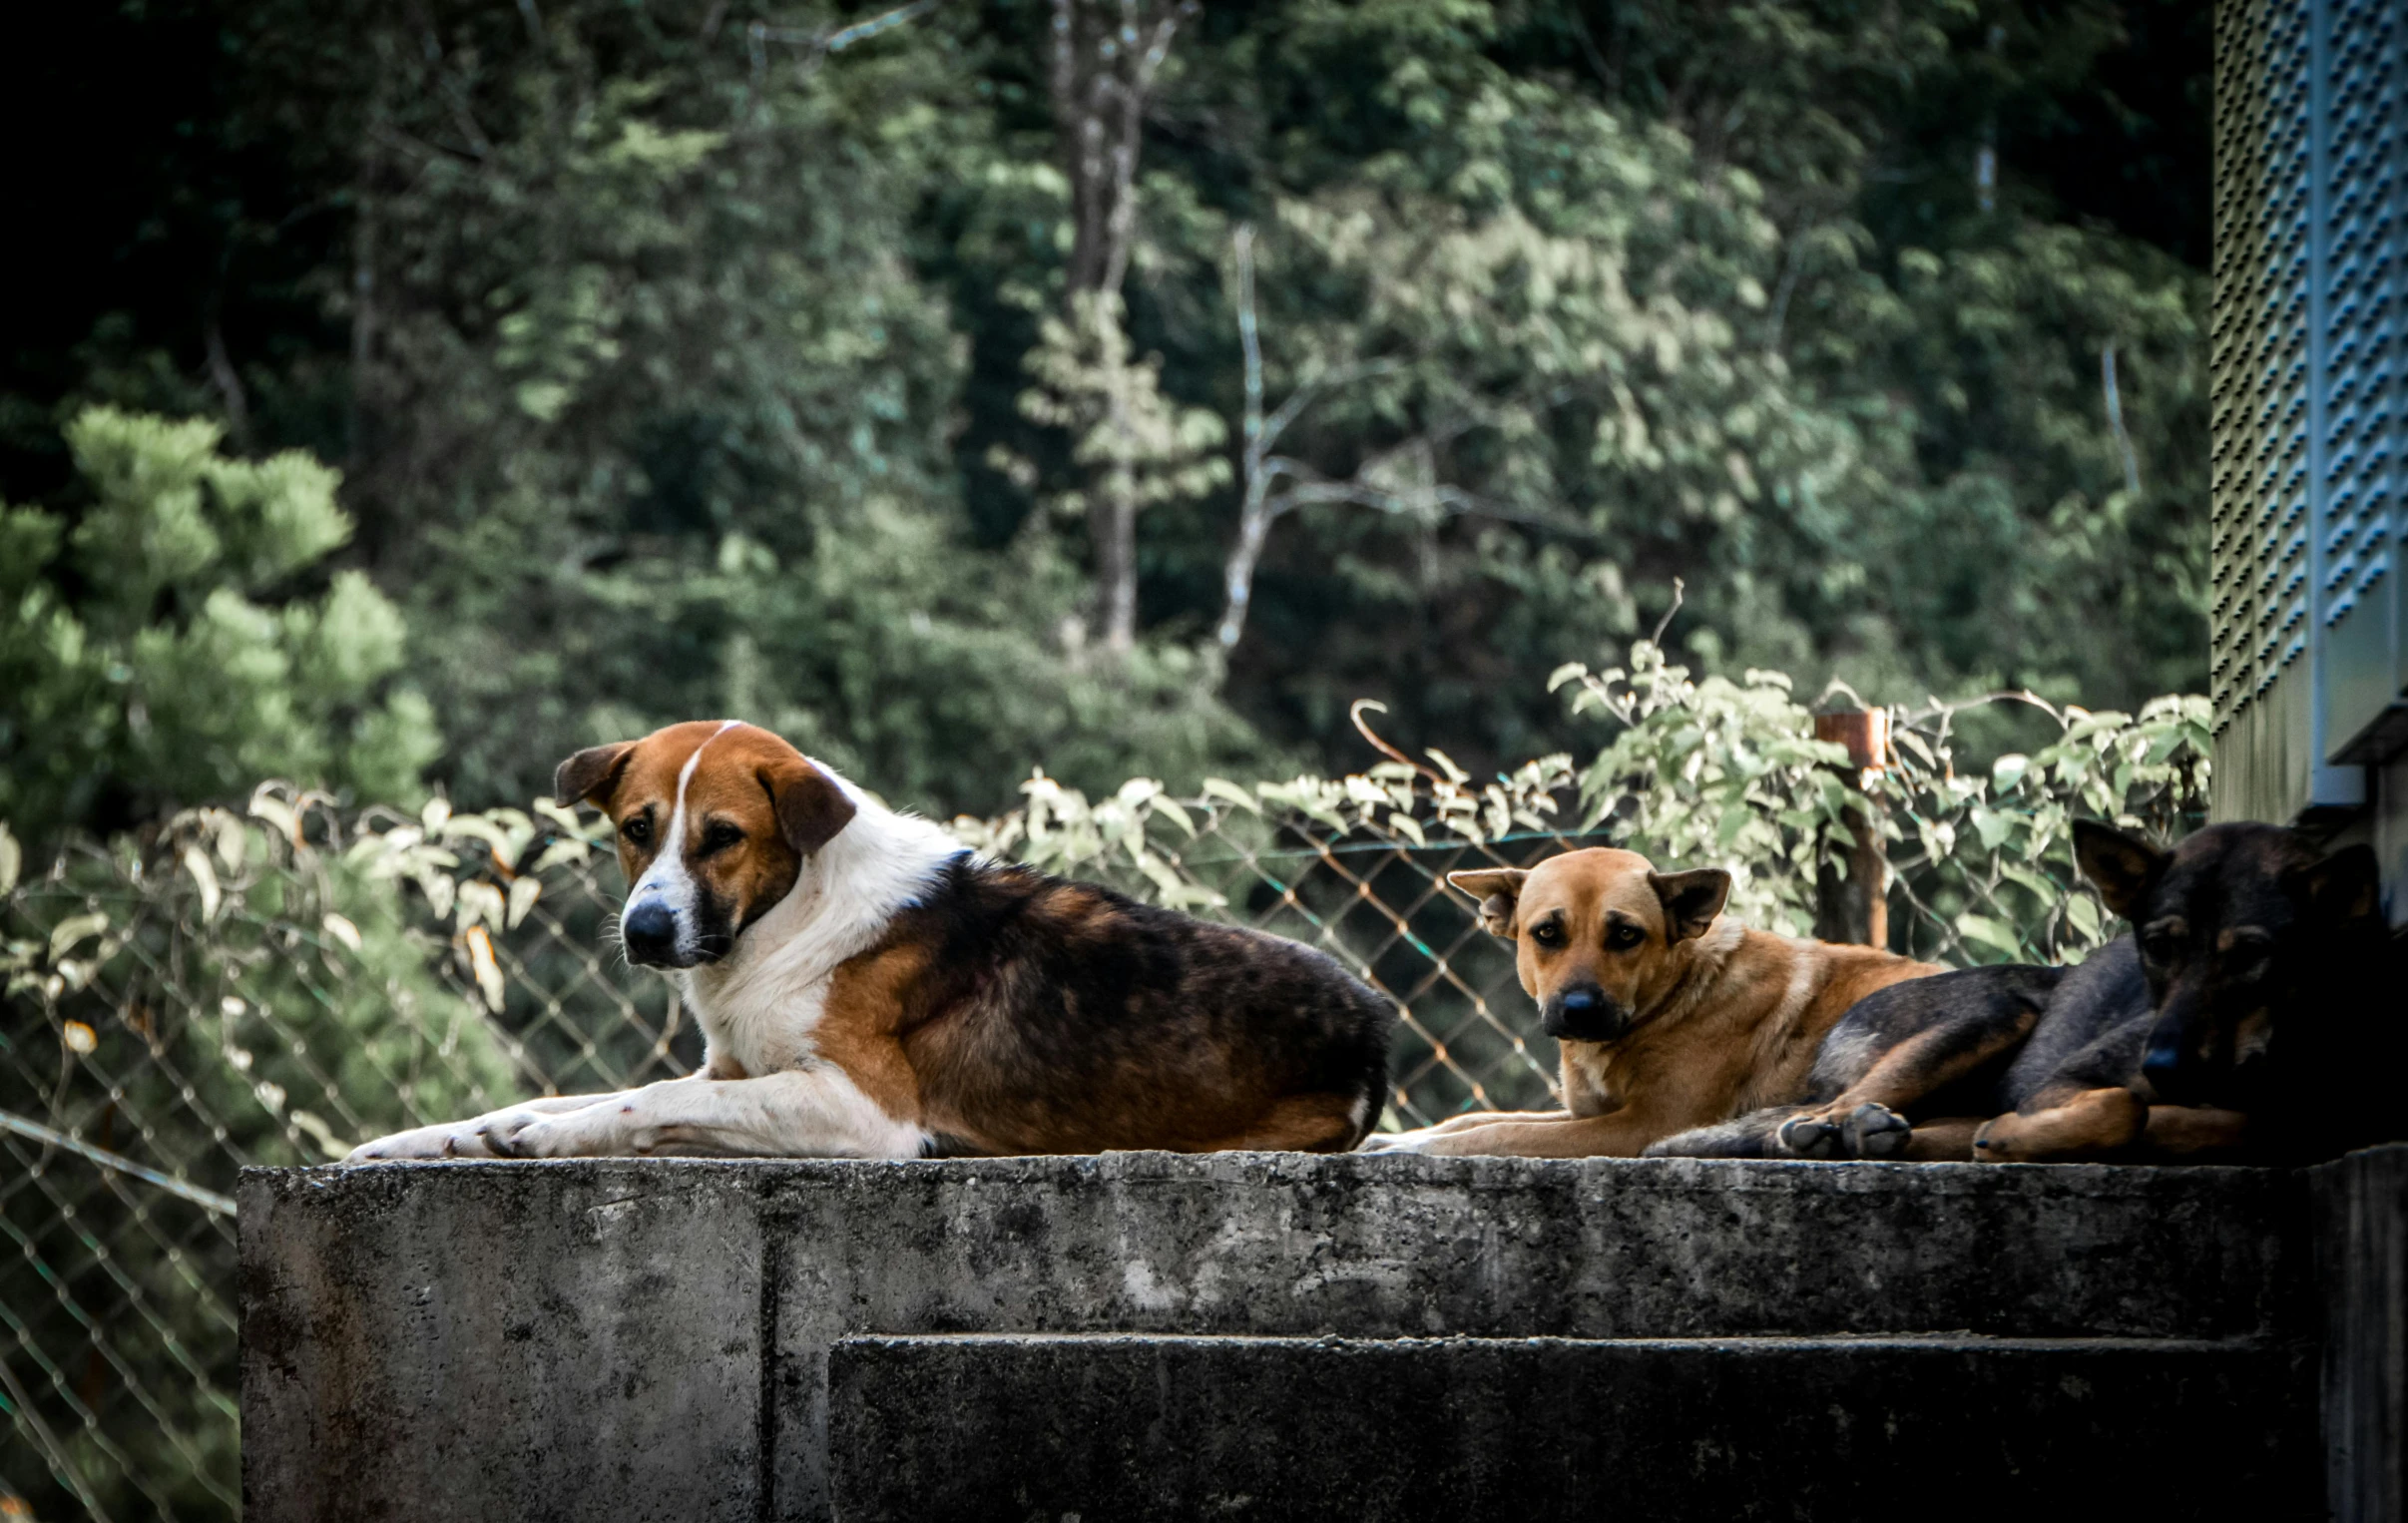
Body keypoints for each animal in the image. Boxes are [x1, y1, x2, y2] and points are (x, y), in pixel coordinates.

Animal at [341, 718, 1396, 1161]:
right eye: (636, 828)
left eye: (722, 837)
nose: (643, 931)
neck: (786, 920)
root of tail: (1374, 1027)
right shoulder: (733, 1070)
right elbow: (564, 1096)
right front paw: (434, 1139)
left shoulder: (860, 1110)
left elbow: (647, 1100)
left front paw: (551, 1139)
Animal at [1367, 843, 1945, 1152]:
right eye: (1547, 933)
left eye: (1626, 935)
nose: (1579, 1011)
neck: (1674, 999)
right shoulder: (1585, 1114)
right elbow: (1477, 1120)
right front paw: (1397, 1139)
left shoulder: (1639, 1124)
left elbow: (1494, 1136)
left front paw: (1419, 1148)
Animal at [1647, 818, 2398, 1166]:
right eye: (2158, 946)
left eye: (2251, 955)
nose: (2163, 1065)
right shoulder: (2066, 1080)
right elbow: (2124, 1106)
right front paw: (2023, 1133)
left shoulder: (2288, 1122)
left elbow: (2232, 1124)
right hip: (1990, 1015)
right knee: (1825, 1109)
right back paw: (1828, 1130)